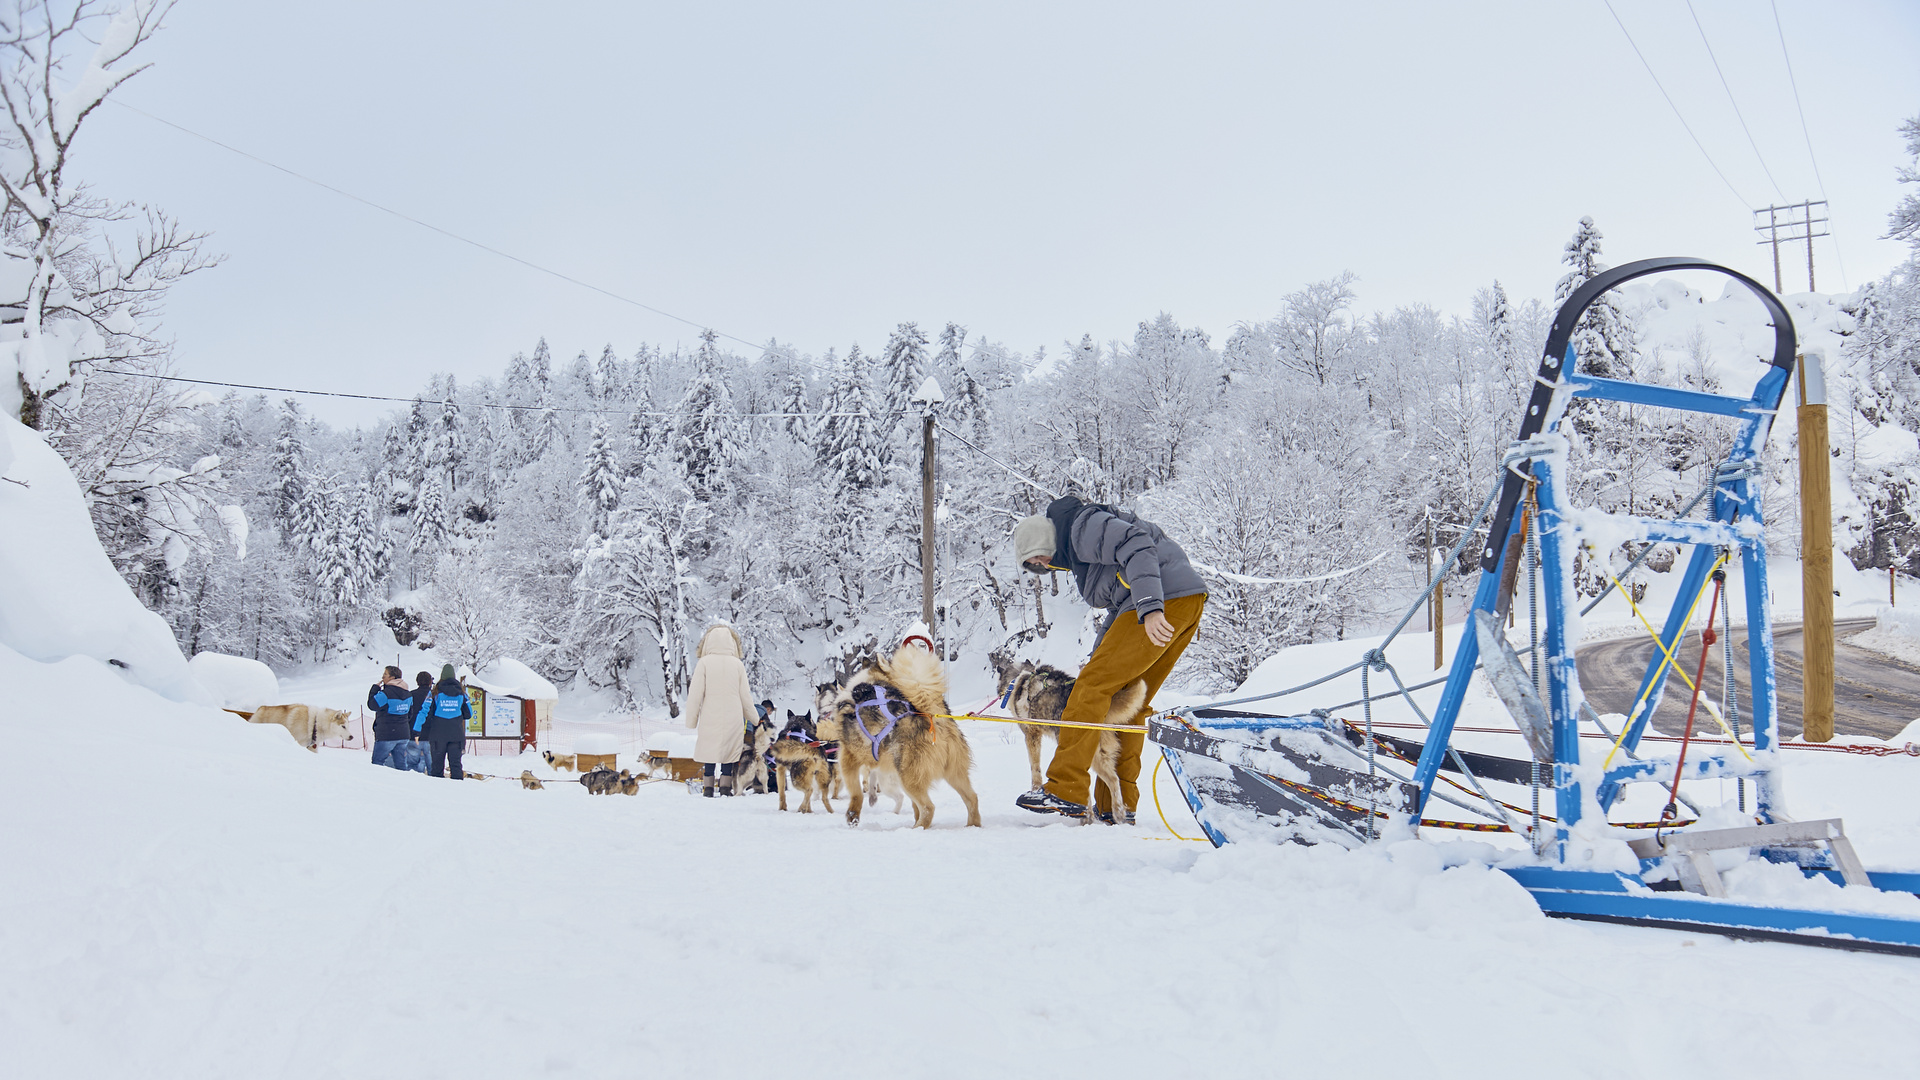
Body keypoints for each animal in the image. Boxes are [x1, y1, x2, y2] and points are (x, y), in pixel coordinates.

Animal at [817, 641, 983, 826]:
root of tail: (933, 715)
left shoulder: (848, 758)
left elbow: (856, 793)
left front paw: (853, 815)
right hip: (953, 773)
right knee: (971, 798)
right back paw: (972, 825)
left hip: (909, 777)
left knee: (928, 808)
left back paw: (917, 828)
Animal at [998, 657, 1144, 822]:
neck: (1019, 679)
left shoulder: (1031, 734)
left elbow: (1035, 768)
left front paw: (1035, 789)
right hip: (1101, 756)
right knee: (1113, 780)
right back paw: (1116, 814)